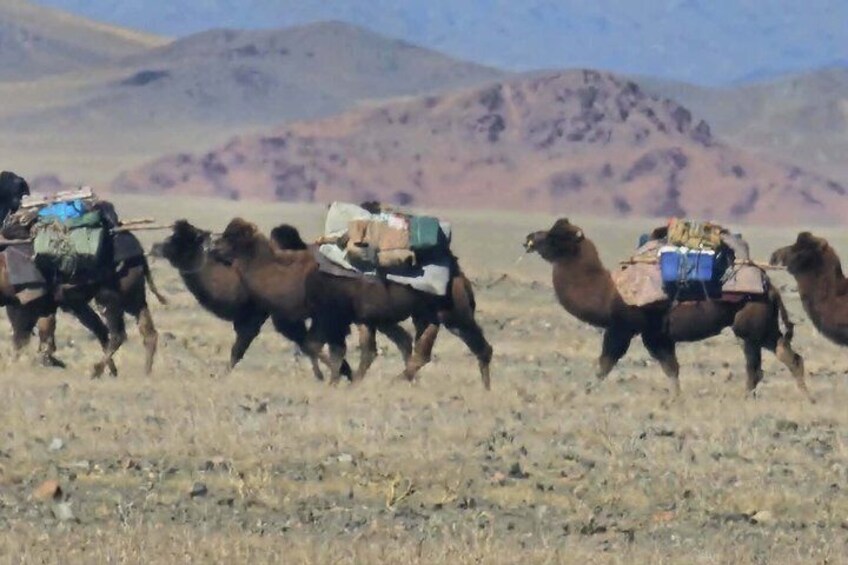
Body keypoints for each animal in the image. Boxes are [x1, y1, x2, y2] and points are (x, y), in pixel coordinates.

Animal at [213, 218, 492, 388]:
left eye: (231, 238)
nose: (211, 247)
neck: (296, 275)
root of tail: (458, 274)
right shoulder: (345, 318)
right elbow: (330, 349)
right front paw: (340, 379)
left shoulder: (331, 316)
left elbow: (320, 347)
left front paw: (335, 379)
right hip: (423, 315)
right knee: (416, 350)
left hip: (452, 311)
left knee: (478, 346)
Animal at [524, 218, 810, 400]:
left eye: (556, 236)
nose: (529, 238)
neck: (607, 290)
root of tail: (768, 285)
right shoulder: (655, 334)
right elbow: (670, 367)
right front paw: (675, 400)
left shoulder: (623, 328)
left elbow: (605, 364)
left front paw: (579, 393)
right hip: (764, 323)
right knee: (787, 354)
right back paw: (806, 397)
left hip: (749, 321)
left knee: (755, 366)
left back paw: (746, 398)